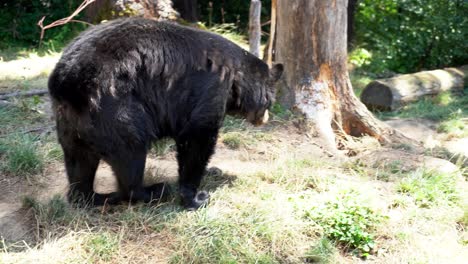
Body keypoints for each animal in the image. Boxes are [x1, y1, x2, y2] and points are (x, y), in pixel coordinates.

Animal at [47, 17, 284, 209]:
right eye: (270, 101)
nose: (265, 119)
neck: (236, 77)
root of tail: (68, 82)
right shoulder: (211, 87)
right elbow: (197, 136)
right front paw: (195, 197)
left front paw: (213, 170)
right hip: (115, 110)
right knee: (130, 152)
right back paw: (152, 191)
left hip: (71, 123)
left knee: (79, 163)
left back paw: (92, 197)